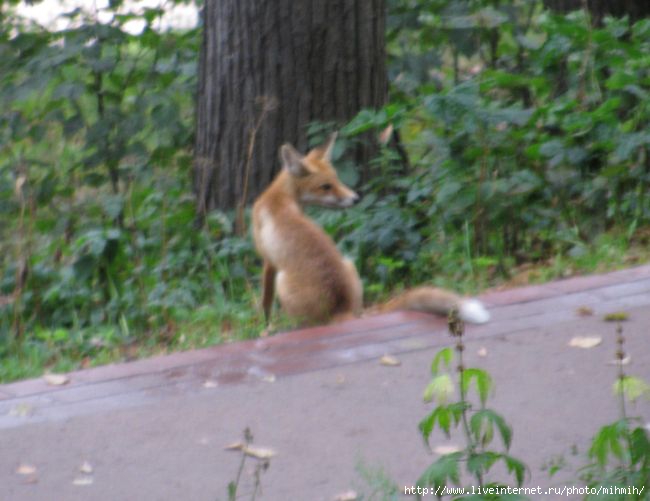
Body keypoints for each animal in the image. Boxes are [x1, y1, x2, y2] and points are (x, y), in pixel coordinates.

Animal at [251, 133, 488, 326]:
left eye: (336, 180)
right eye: (326, 187)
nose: (355, 198)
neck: (280, 198)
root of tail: (341, 308)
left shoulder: (268, 261)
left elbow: (265, 301)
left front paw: (265, 326)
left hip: (283, 281)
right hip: (349, 263)